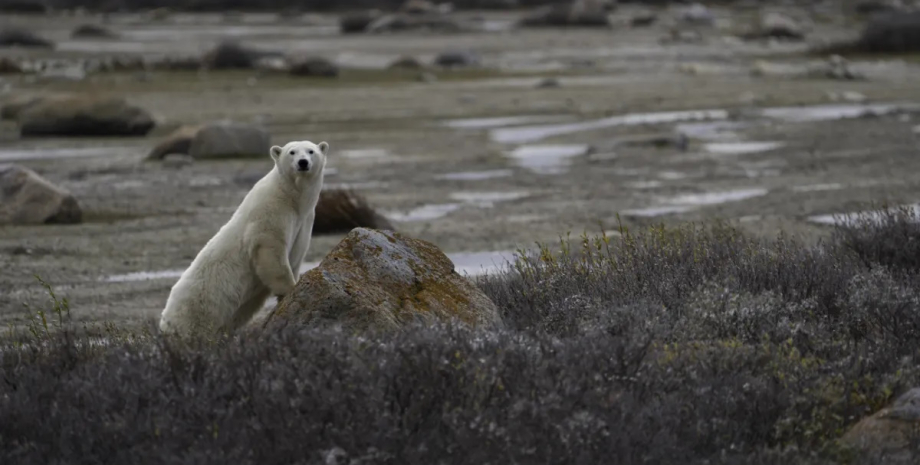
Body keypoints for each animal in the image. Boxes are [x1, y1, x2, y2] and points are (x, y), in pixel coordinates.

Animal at [159, 139, 330, 338]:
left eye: (311, 151)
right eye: (292, 152)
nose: (303, 163)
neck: (291, 196)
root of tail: (165, 321)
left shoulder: (305, 220)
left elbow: (295, 254)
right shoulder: (270, 210)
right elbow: (270, 247)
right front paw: (290, 289)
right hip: (198, 307)